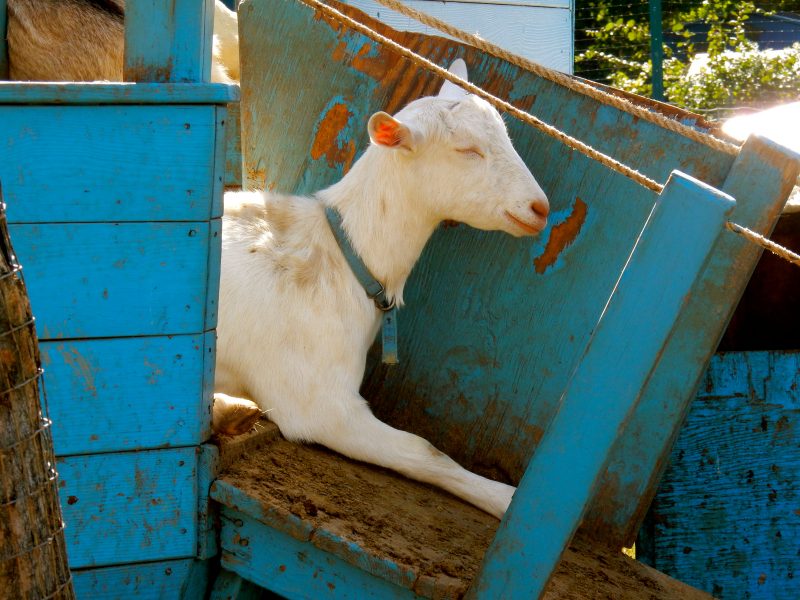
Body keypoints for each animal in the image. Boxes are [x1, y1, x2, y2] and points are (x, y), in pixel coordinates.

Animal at [212, 63, 552, 516]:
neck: (342, 257)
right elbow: (425, 450)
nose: (539, 208)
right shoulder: (319, 400)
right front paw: (506, 498)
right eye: (467, 150)